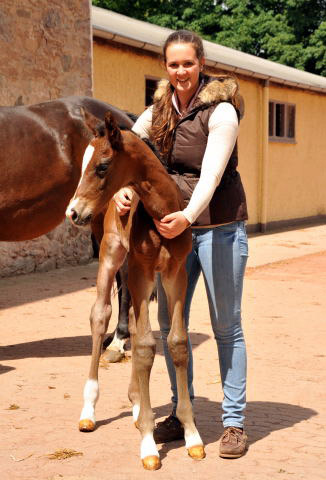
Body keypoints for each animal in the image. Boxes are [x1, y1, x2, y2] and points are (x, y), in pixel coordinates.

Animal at [65, 110, 205, 470]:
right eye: (82, 163)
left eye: (102, 166)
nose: (73, 212)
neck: (161, 213)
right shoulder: (142, 272)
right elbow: (144, 347)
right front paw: (148, 444)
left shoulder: (175, 273)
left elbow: (176, 343)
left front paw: (192, 435)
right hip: (112, 254)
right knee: (101, 315)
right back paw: (89, 410)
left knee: (126, 311)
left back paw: (137, 401)